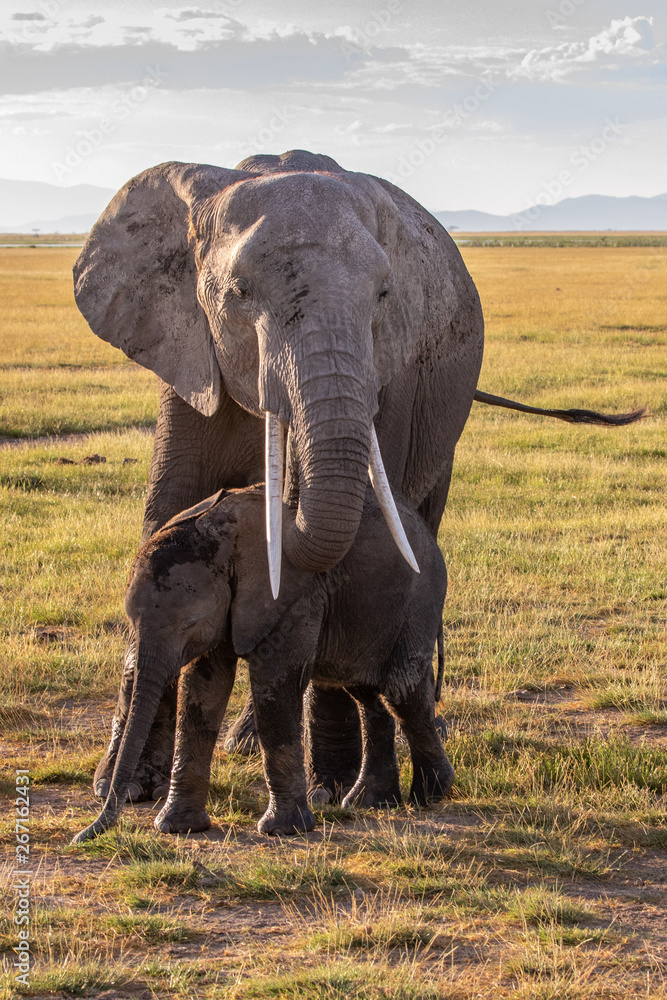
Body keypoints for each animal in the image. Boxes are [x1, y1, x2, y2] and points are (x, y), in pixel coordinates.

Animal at [72, 481, 453, 843]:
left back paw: (431, 795)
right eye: (130, 620)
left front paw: (283, 831)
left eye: (190, 624)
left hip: (418, 603)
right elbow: (203, 690)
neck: (219, 531)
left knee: (402, 692)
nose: (83, 836)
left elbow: (274, 684)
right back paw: (370, 803)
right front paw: (176, 827)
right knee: (366, 693)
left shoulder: (293, 598)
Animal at [73, 149, 644, 806]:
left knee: (419, 529)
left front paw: (330, 788)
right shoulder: (188, 350)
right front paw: (122, 789)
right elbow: (171, 509)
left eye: (384, 294)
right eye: (239, 293)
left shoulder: (393, 377)